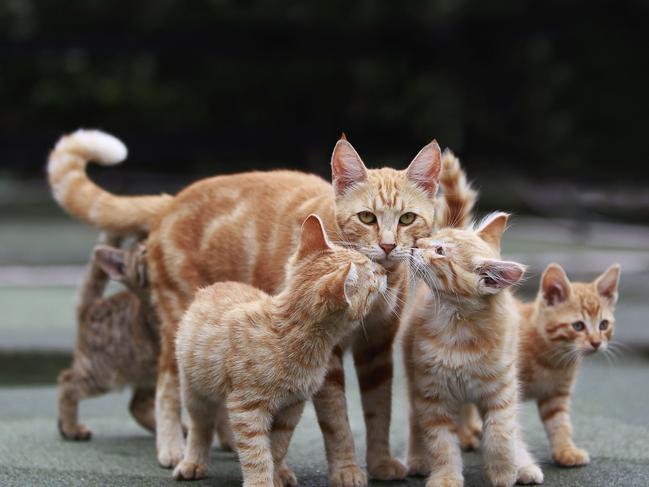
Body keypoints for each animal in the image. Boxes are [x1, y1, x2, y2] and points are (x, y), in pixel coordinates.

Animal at [58, 234, 159, 440]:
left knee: (137, 406)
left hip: (147, 375)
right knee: (67, 382)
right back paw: (71, 427)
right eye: (144, 251)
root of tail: (89, 307)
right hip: (102, 374)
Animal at [171, 215, 384, 486]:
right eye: (373, 277)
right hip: (195, 392)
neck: (289, 336)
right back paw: (193, 462)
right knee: (201, 427)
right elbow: (256, 454)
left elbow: (278, 447)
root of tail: (213, 286)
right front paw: (261, 481)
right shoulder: (247, 408)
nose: (383, 271)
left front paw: (277, 473)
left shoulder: (292, 407)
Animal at [400, 214, 540, 487]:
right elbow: (442, 444)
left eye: (440, 251)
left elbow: (501, 432)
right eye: (431, 236)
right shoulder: (432, 395)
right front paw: (445, 477)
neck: (459, 329)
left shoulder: (502, 391)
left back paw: (525, 465)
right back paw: (417, 458)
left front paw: (504, 471)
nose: (415, 243)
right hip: (414, 380)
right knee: (414, 421)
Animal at [458, 264, 620, 468]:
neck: (552, 360)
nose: (597, 343)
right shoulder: (508, 389)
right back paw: (464, 436)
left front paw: (565, 450)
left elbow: (560, 423)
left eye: (604, 325)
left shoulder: (556, 394)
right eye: (578, 326)